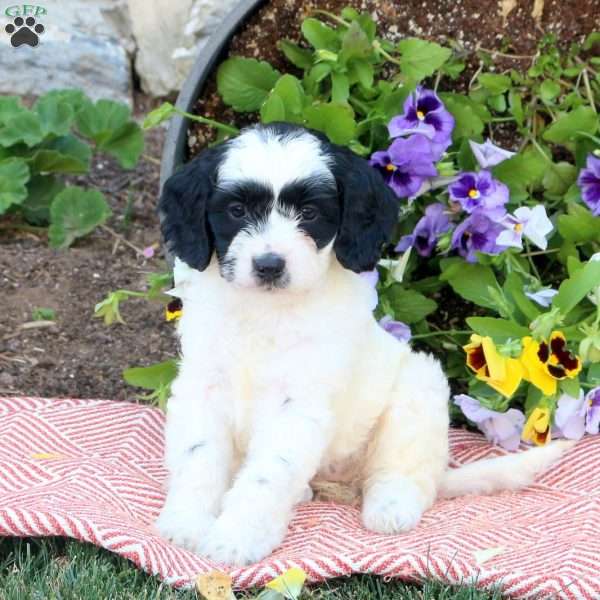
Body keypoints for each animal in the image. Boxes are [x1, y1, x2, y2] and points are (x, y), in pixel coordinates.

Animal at [155, 123, 568, 568]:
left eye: (310, 214)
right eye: (236, 211)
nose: (269, 265)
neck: (265, 312)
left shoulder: (298, 403)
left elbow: (269, 473)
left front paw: (237, 537)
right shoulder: (203, 386)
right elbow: (198, 456)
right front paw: (187, 522)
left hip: (417, 390)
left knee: (407, 471)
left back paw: (390, 506)